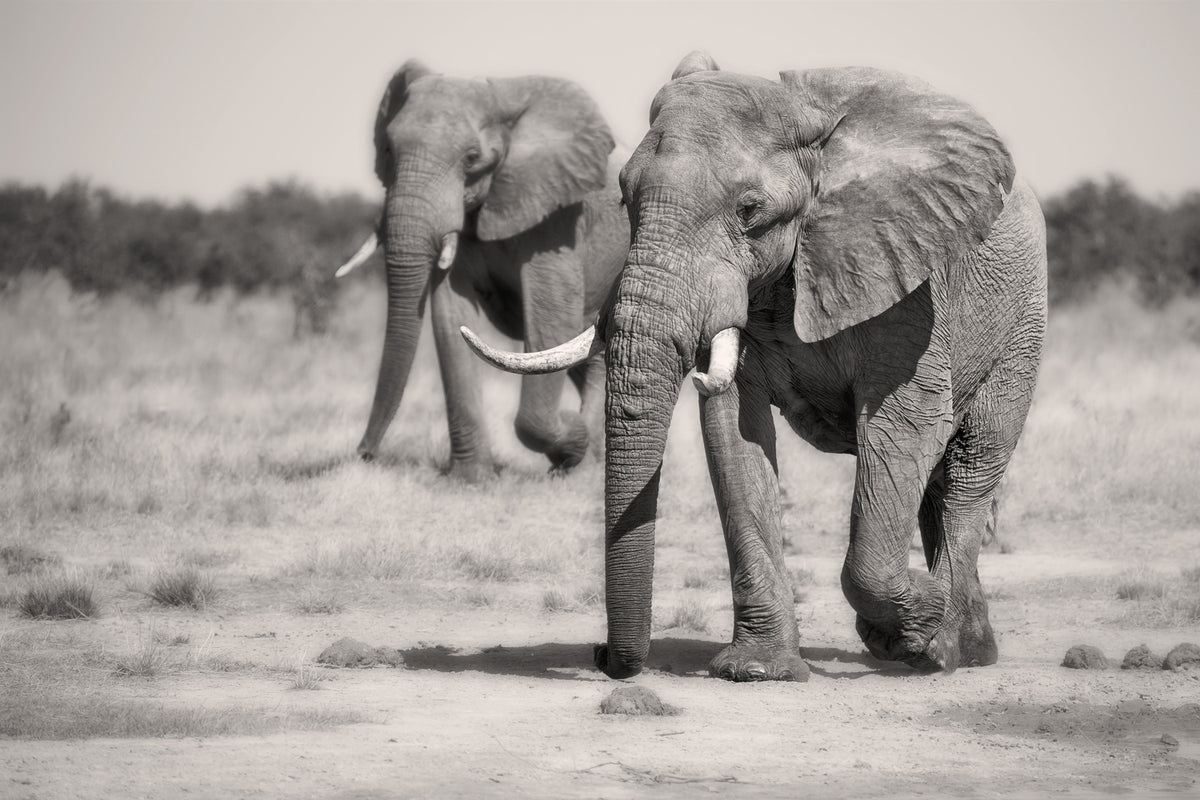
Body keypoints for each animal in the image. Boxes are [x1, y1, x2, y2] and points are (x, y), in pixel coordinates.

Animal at [335, 60, 629, 480]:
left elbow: (551, 314)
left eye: (472, 158)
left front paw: (573, 437)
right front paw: (470, 479)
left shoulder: (557, 218)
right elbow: (449, 315)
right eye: (388, 149)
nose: (364, 453)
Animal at [464, 53, 1047, 681]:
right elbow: (734, 431)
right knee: (942, 481)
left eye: (750, 210)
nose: (602, 656)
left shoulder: (910, 289)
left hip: (1020, 325)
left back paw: (943, 649)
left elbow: (902, 426)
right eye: (624, 200)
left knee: (969, 465)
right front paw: (759, 669)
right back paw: (968, 646)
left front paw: (911, 627)